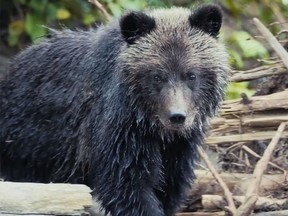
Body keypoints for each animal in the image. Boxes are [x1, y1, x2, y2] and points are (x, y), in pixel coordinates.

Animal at [0, 3, 230, 216]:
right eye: (157, 76)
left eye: (191, 74)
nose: (177, 116)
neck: (152, 126)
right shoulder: (118, 129)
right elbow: (127, 185)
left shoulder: (180, 146)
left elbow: (169, 185)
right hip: (30, 141)